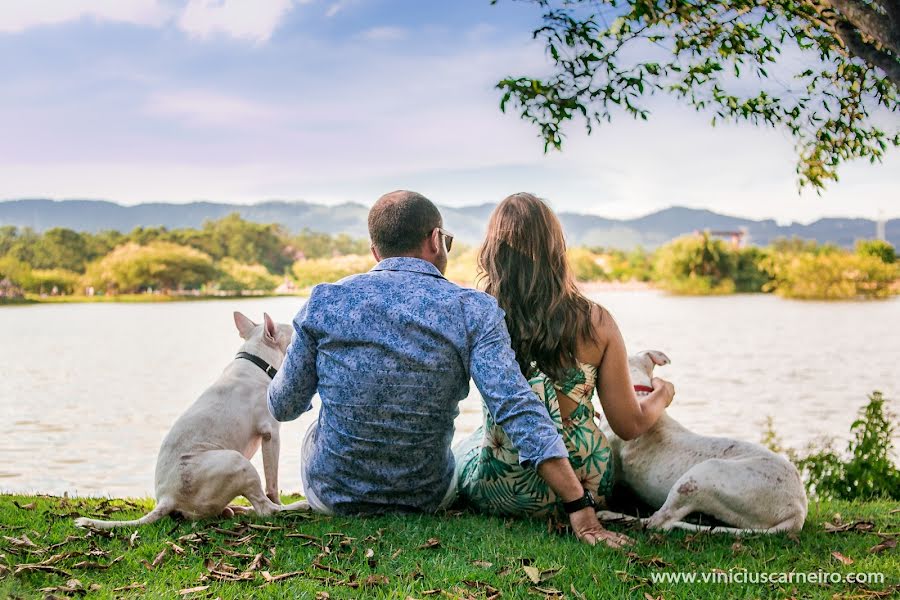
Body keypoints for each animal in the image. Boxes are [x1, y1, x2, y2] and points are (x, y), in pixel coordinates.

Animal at [72, 312, 310, 528]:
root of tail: (167, 498)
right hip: (237, 461)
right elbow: (272, 483)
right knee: (265, 508)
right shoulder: (271, 434)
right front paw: (280, 500)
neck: (257, 361)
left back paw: (233, 509)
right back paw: (296, 506)